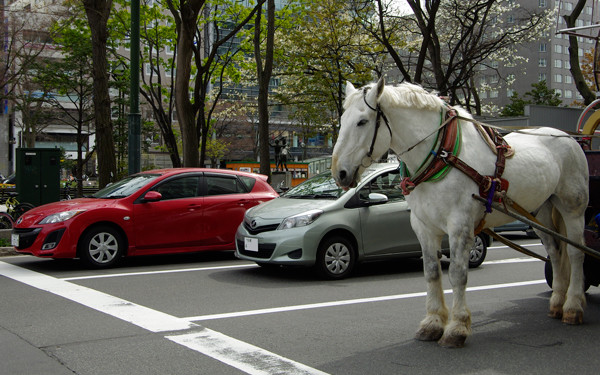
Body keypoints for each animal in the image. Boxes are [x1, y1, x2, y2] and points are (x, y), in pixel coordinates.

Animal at [332, 79, 592, 350]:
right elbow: (431, 272)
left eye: (362, 121)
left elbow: (457, 274)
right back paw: (557, 302)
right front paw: (433, 322)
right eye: (342, 120)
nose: (339, 172)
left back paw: (573, 306)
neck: (441, 155)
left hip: (572, 207)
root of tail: (569, 138)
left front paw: (457, 327)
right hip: (541, 210)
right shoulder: (423, 226)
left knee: (575, 252)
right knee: (555, 250)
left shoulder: (460, 225)